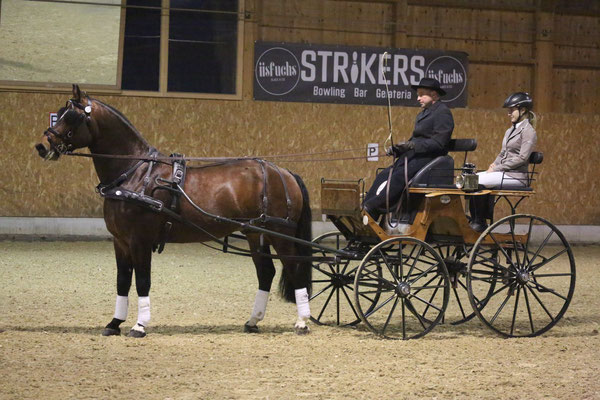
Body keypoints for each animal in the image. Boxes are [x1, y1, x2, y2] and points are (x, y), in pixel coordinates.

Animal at [35, 84, 314, 338]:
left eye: (71, 116)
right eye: (59, 112)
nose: (41, 146)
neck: (134, 174)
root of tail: (284, 172)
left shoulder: (139, 240)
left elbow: (142, 281)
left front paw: (139, 325)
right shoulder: (120, 241)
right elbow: (122, 281)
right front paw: (114, 323)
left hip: (279, 233)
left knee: (294, 267)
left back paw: (302, 322)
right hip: (255, 233)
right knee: (266, 272)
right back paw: (253, 321)